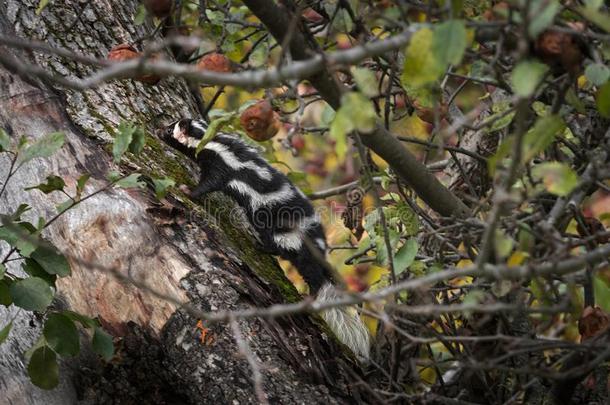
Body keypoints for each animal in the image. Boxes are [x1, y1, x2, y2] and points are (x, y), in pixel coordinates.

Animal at [159, 118, 368, 358]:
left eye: (169, 129)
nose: (158, 130)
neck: (211, 140)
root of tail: (319, 245)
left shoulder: (223, 167)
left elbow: (209, 183)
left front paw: (187, 190)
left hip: (284, 232)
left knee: (300, 264)